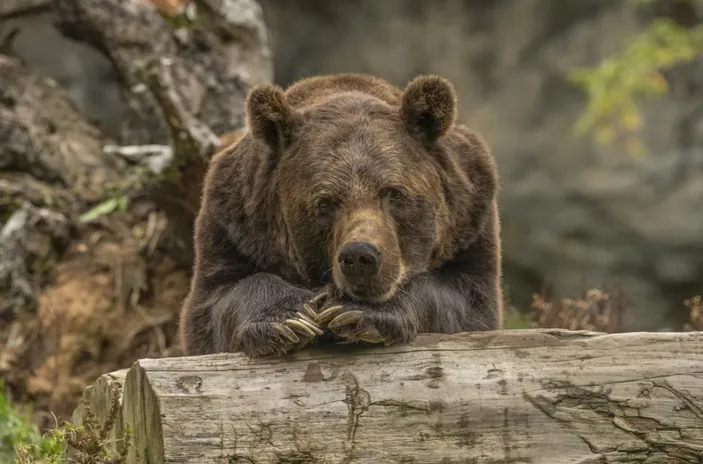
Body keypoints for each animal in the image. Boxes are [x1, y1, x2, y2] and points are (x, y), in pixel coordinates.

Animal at [179, 72, 504, 358]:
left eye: (394, 193)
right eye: (325, 202)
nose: (360, 257)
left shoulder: (470, 222)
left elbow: (465, 301)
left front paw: (357, 312)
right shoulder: (233, 226)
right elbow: (217, 301)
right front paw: (290, 319)